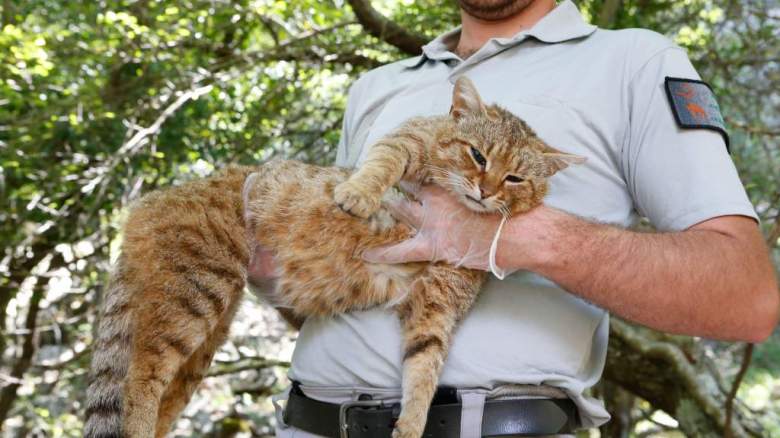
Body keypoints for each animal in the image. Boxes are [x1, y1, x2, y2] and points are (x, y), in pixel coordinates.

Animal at [85, 76, 584, 438]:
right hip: (195, 291)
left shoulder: (436, 303)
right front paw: (357, 193)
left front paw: (411, 424)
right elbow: (382, 162)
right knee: (140, 376)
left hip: (204, 335)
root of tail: (150, 201)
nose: (486, 191)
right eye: (477, 155)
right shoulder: (408, 139)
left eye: (515, 178)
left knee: (157, 390)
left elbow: (425, 366)